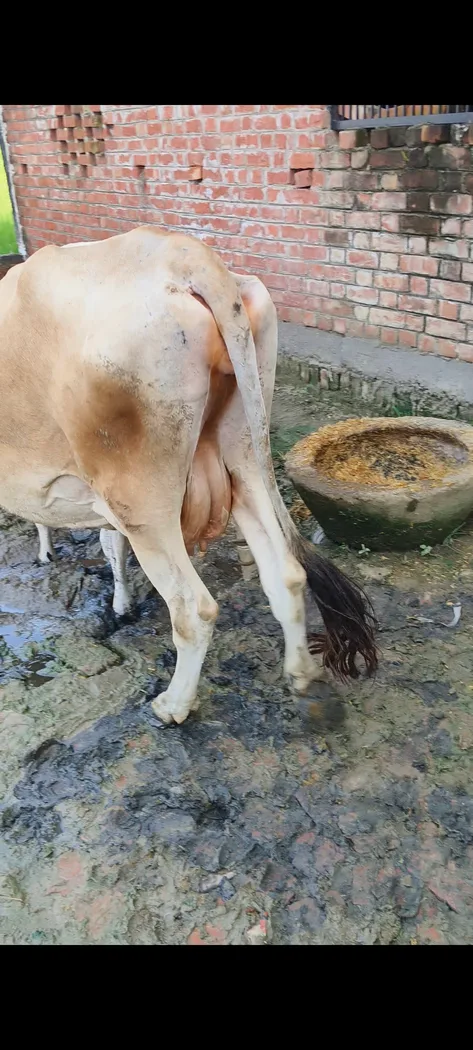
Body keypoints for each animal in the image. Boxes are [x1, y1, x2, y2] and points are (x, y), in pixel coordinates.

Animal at [0, 225, 377, 724]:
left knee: (193, 609)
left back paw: (173, 704)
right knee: (286, 573)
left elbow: (103, 542)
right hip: (243, 455)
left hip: (142, 499)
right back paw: (300, 673)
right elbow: (108, 544)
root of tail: (181, 252)